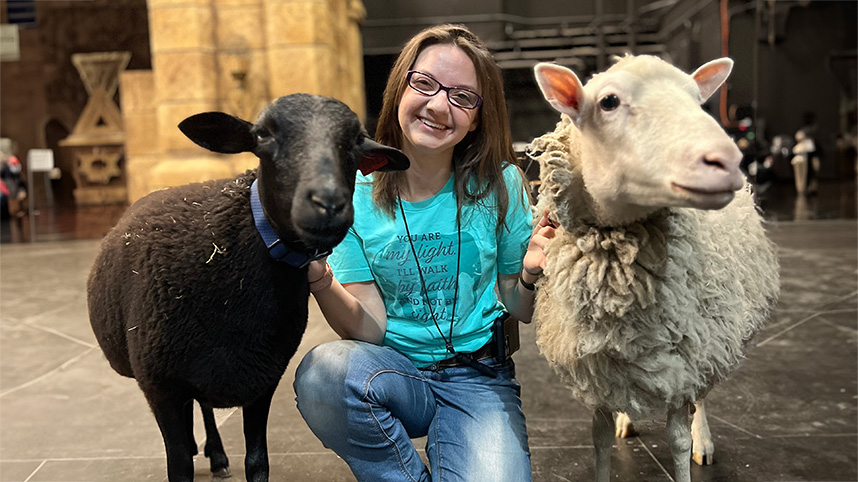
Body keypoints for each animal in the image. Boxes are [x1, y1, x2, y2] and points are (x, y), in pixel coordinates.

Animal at [88, 94, 408, 482]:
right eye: (262, 135)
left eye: (359, 141)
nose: (329, 204)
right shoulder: (161, 385)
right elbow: (179, 467)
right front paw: (189, 453)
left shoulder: (261, 380)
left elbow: (257, 461)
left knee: (204, 405)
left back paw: (216, 454)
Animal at [524, 56, 780, 482]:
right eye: (608, 102)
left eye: (697, 99)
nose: (727, 161)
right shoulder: (595, 366)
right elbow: (598, 437)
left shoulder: (685, 361)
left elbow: (677, 440)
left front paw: (689, 447)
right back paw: (627, 419)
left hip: (710, 341)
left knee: (701, 400)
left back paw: (703, 440)